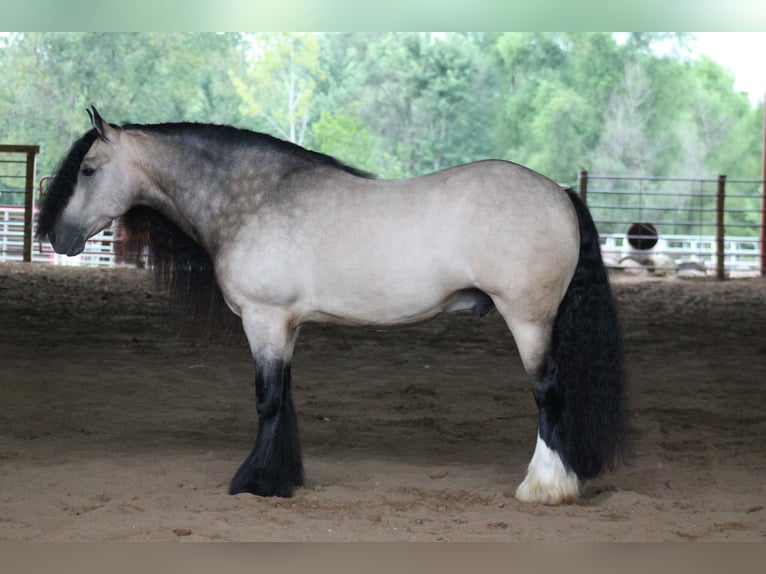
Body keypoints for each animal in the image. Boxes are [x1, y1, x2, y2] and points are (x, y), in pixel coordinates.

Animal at [34, 107, 632, 504]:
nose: (56, 237)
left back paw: (545, 487)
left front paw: (255, 483)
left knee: (548, 395)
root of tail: (559, 192)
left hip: (528, 320)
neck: (257, 197)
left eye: (87, 170)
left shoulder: (264, 319)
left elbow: (268, 400)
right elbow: (286, 397)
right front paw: (283, 477)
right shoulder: (286, 325)